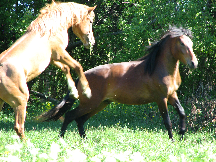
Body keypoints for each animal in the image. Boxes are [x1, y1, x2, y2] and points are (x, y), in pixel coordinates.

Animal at [0, 0, 96, 139]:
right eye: (90, 21)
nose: (91, 42)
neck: (50, 30)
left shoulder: (53, 58)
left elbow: (66, 68)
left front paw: (74, 92)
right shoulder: (60, 53)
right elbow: (77, 66)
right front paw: (86, 91)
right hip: (20, 100)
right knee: (19, 127)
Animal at [39, 26, 198, 139]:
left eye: (191, 43)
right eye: (182, 44)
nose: (194, 63)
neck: (159, 69)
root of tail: (81, 77)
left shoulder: (172, 95)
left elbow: (182, 113)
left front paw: (182, 135)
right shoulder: (161, 98)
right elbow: (167, 121)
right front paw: (172, 140)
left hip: (100, 104)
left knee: (80, 120)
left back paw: (85, 140)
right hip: (89, 104)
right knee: (70, 116)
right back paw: (61, 139)